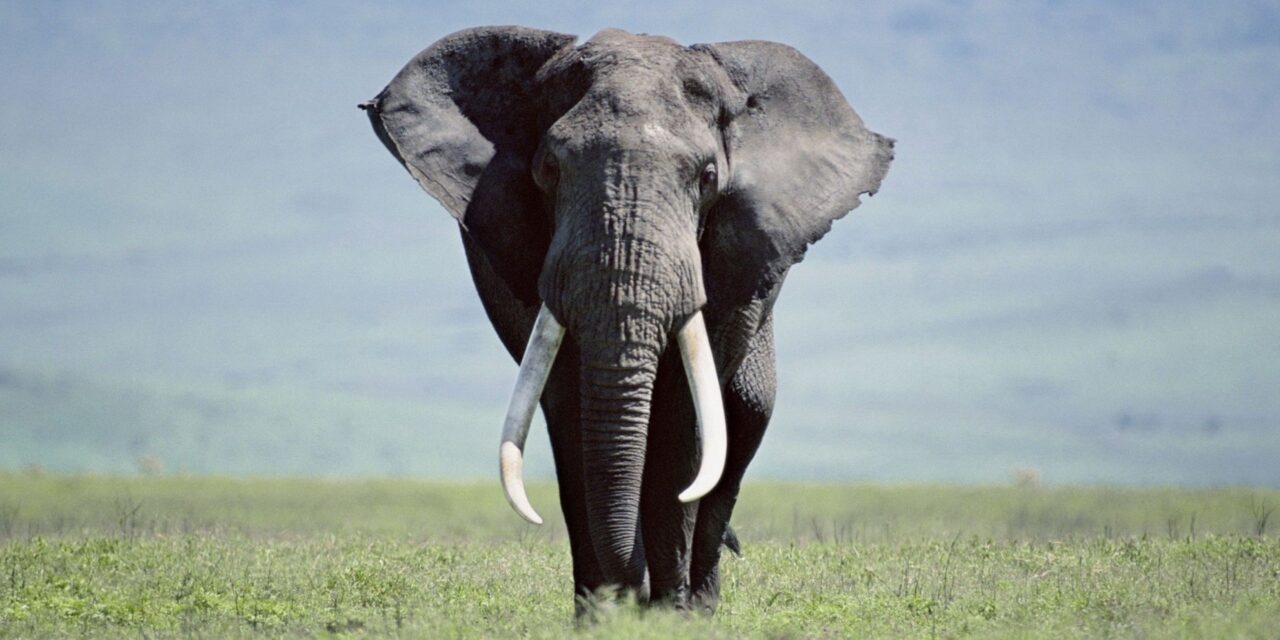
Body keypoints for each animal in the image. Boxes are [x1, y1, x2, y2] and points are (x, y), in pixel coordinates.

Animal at [361, 26, 892, 614]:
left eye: (707, 177)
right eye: (549, 169)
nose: (634, 594)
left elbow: (685, 414)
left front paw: (668, 615)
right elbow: (568, 404)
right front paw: (602, 614)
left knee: (747, 417)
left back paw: (701, 605)